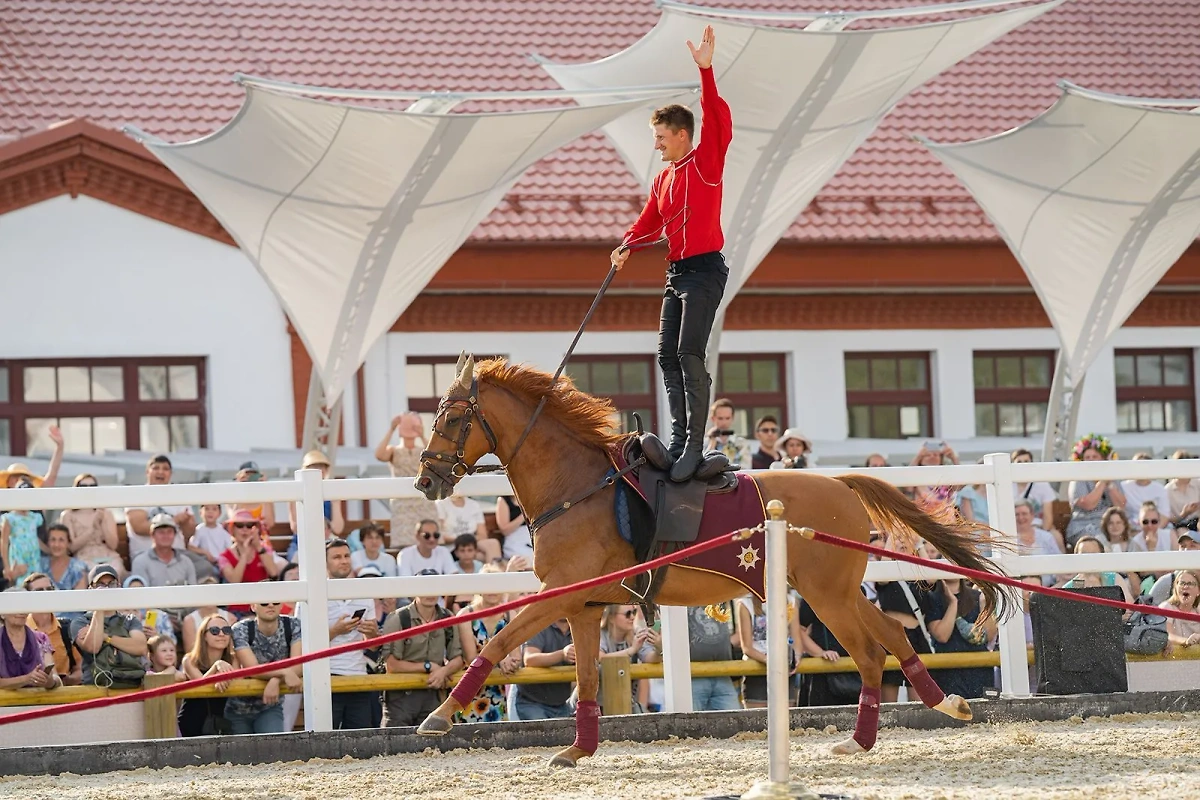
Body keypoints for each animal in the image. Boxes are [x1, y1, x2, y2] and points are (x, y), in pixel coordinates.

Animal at [417, 357, 1008, 767]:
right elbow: (583, 678)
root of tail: (839, 483)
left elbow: (496, 643)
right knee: (891, 633)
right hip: (832, 592)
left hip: (828, 594)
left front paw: (441, 715)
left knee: (868, 651)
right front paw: (578, 750)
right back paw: (938, 706)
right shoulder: (584, 608)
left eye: (451, 416)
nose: (426, 479)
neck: (580, 488)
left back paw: (866, 739)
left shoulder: (562, 595)